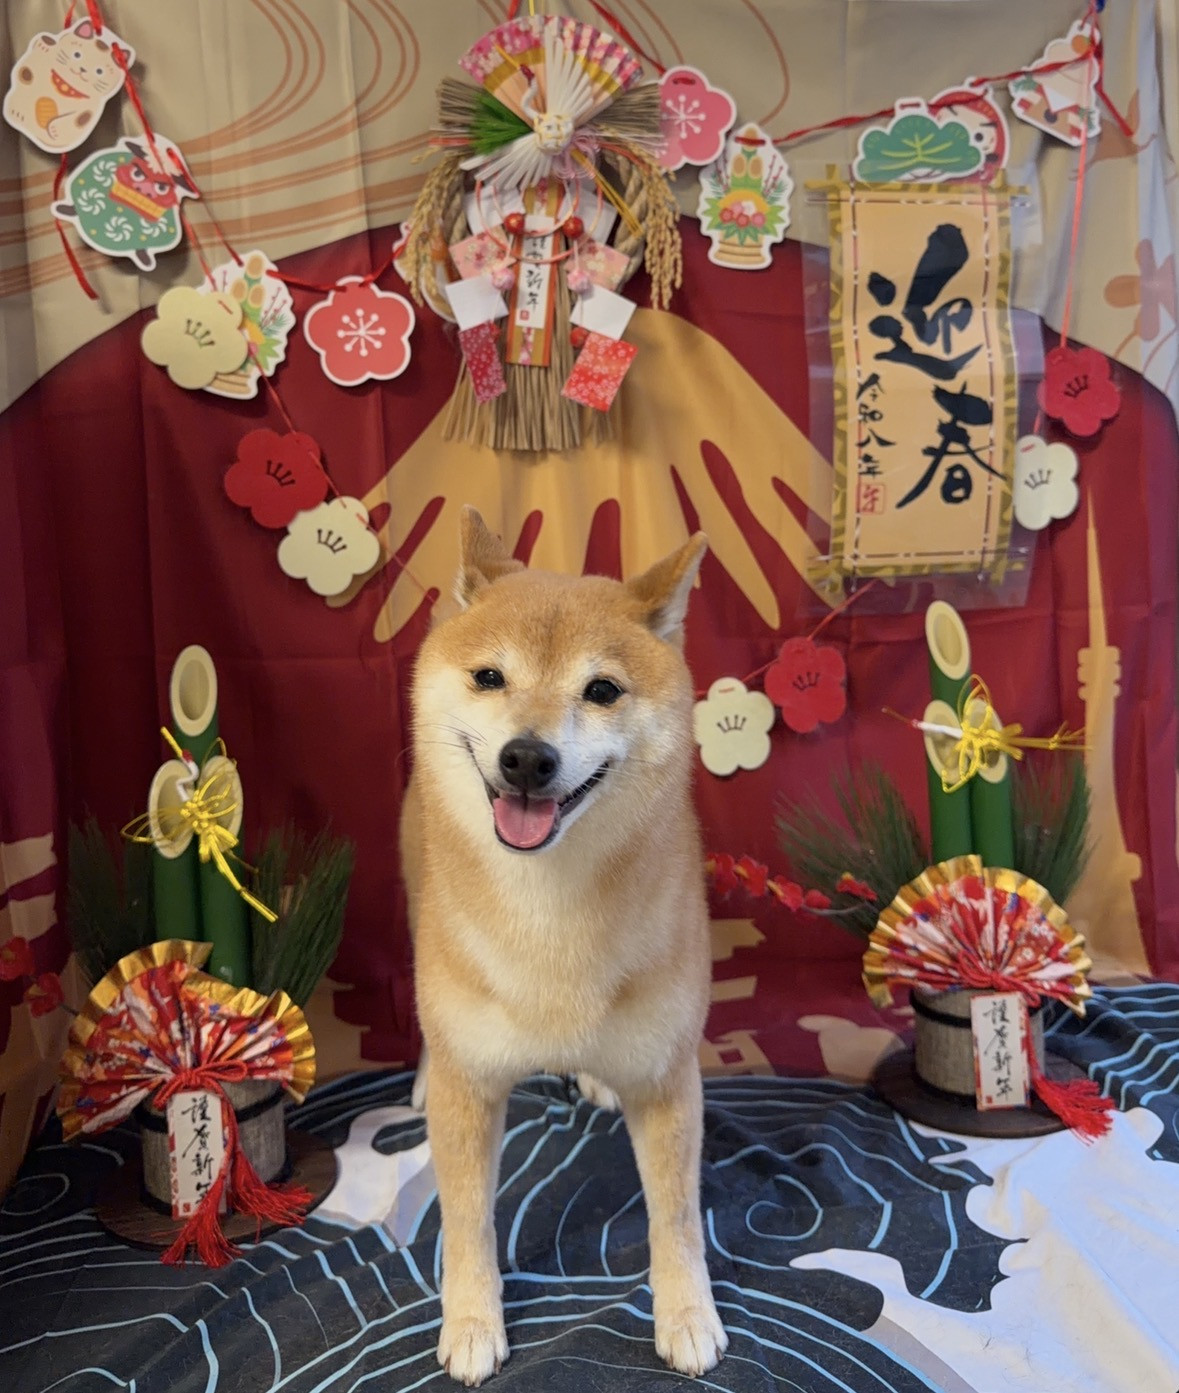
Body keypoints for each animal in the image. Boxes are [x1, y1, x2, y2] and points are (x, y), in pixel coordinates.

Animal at [3, 20, 134, 155]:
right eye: (77, 54)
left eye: (99, 71)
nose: (83, 69)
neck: (65, 85)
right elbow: (27, 76)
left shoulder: (88, 111)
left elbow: (76, 120)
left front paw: (55, 130)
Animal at [401, 508, 726, 1386]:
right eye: (489, 677)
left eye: (602, 690)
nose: (525, 755)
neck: (548, 911)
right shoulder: (472, 1092)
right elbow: (467, 1219)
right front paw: (471, 1319)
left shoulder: (668, 1076)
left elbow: (675, 1216)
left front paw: (687, 1313)